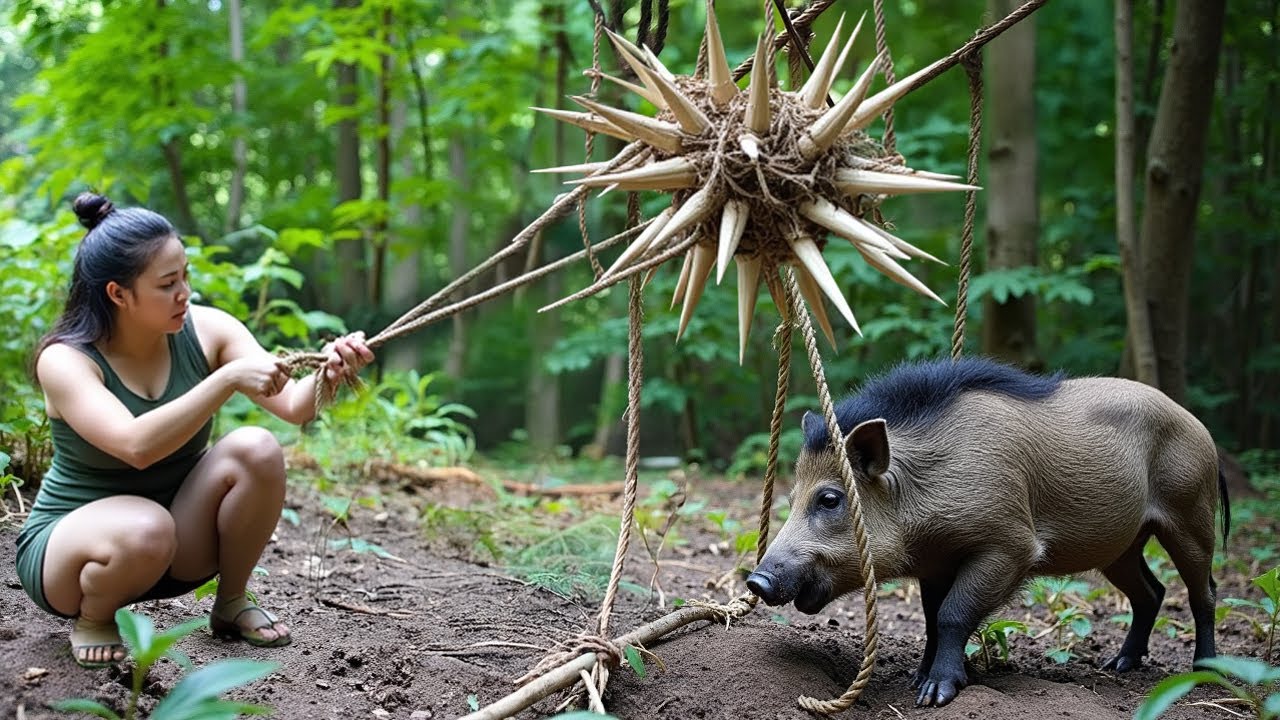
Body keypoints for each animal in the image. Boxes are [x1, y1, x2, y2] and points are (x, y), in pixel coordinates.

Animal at [746, 357, 1228, 708]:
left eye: (830, 499)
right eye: (792, 498)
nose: (756, 580)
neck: (921, 490)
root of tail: (1200, 427)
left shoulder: (1010, 545)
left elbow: (953, 614)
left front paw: (934, 695)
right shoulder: (936, 564)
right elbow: (932, 619)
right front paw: (919, 679)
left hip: (1190, 514)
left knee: (1204, 592)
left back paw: (1206, 670)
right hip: (1121, 547)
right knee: (1152, 592)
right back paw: (1118, 665)